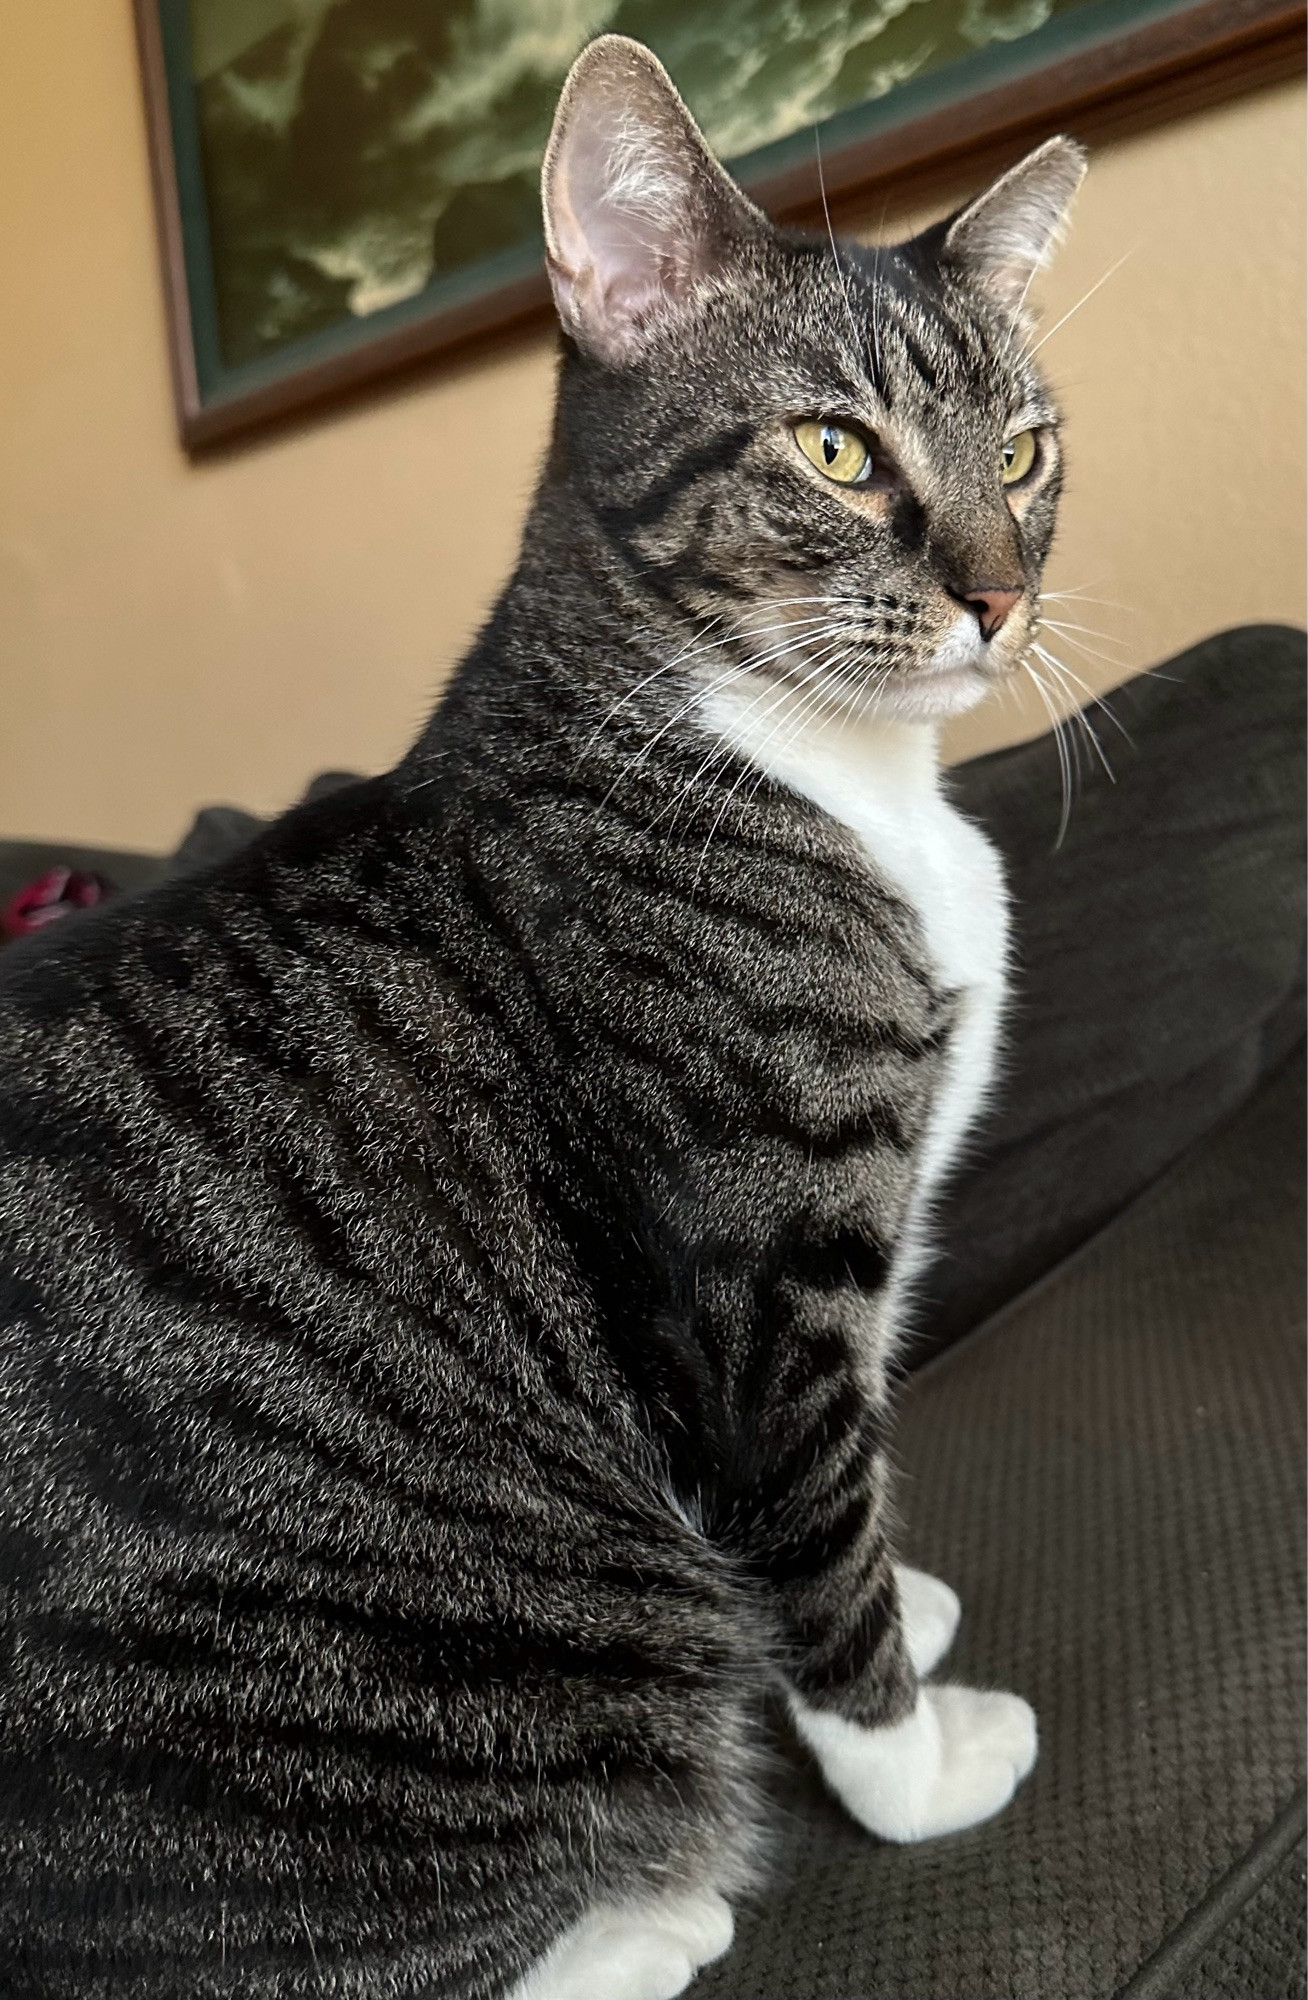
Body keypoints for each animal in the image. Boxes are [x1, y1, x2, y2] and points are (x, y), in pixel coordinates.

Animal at [0, 35, 1088, 2000]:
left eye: (1027, 452)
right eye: (834, 449)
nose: (1001, 592)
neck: (838, 779)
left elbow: (850, 1511)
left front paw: (915, 1594)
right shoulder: (761, 1281)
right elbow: (818, 1543)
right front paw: (920, 1766)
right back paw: (659, 1908)